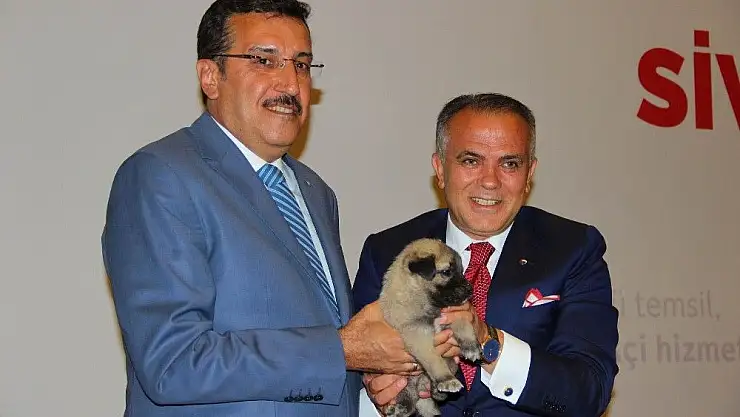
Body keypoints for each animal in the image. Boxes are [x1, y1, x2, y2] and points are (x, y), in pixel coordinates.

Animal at [378, 238, 483, 417]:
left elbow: (464, 324)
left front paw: (471, 347)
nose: (470, 290)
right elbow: (434, 358)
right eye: (447, 272)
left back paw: (434, 391)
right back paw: (399, 407)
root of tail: (420, 385)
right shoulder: (418, 332)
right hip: (400, 378)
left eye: (461, 270)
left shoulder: (451, 314)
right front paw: (446, 379)